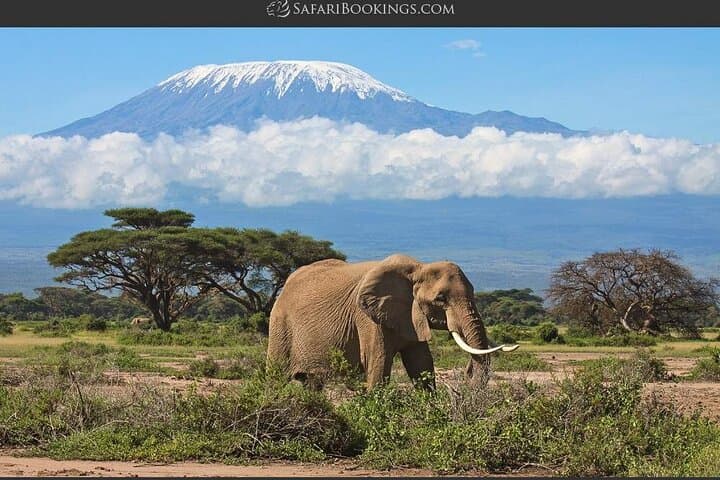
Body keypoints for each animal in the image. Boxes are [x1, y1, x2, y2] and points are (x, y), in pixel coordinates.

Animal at [267, 254, 518, 390]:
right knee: (276, 377)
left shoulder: (410, 316)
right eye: (441, 298)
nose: (466, 372)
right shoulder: (367, 318)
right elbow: (378, 365)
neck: (418, 269)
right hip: (279, 324)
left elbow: (421, 365)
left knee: (312, 383)